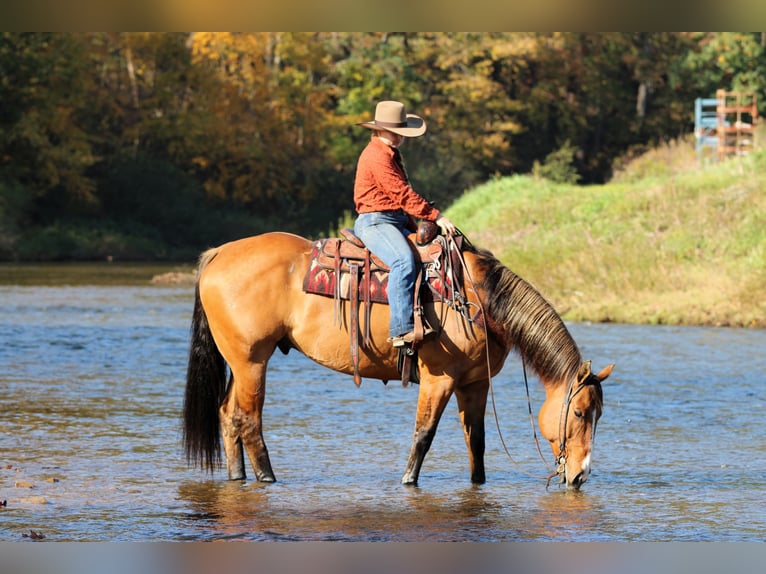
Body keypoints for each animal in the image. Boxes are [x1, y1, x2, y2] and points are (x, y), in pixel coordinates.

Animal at [182, 231, 613, 490]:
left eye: (598, 415)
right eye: (579, 413)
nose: (580, 476)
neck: (478, 298)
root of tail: (218, 253)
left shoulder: (475, 384)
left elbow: (476, 441)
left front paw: (478, 484)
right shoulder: (439, 379)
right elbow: (423, 435)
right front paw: (408, 482)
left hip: (241, 362)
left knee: (228, 415)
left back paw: (237, 476)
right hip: (253, 361)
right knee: (248, 420)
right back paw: (267, 478)